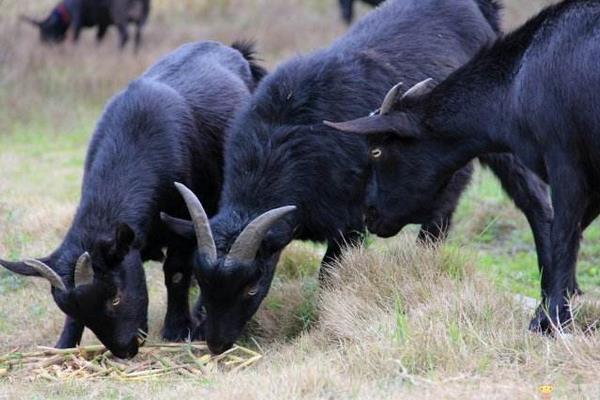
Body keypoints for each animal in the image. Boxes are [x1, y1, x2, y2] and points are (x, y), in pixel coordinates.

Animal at [0, 40, 264, 360]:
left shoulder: (183, 220)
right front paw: (64, 345)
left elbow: (176, 272)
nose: (125, 350)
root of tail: (233, 49)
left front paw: (177, 329)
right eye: (76, 311)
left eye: (116, 297)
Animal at [21, 0, 152, 49]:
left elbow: (75, 38)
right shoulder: (103, 23)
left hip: (120, 16)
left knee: (125, 35)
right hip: (142, 18)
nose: (43, 44)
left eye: (47, 30)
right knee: (138, 37)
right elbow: (98, 38)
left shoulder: (77, 20)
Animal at [162, 0, 552, 354]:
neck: (283, 139)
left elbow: (329, 273)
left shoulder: (351, 222)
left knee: (522, 204)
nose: (217, 343)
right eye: (201, 280)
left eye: (252, 287)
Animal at [326, 0, 600, 332]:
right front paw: (550, 308)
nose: (370, 214)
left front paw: (551, 320)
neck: (513, 90)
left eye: (377, 150)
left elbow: (563, 236)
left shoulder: (565, 160)